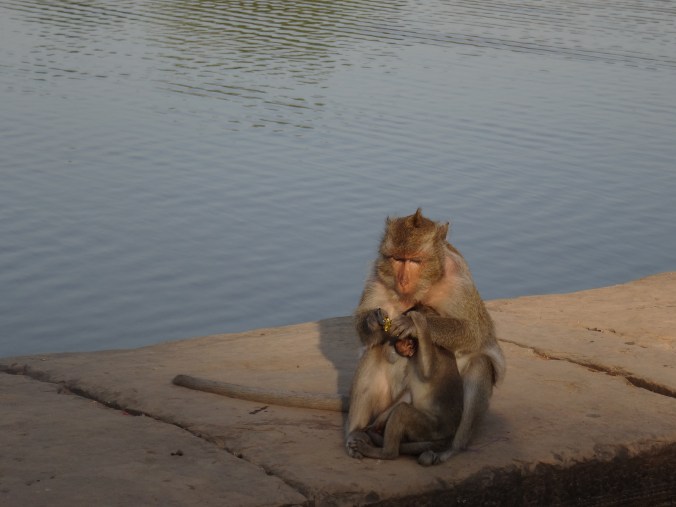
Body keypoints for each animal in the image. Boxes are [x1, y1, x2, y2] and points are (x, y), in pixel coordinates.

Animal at [347, 309, 463, 462]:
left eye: (407, 342)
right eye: (402, 343)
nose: (403, 347)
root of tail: (451, 434)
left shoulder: (436, 352)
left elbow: (428, 371)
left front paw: (419, 322)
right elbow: (408, 393)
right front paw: (377, 422)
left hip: (434, 429)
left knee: (402, 412)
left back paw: (386, 453)